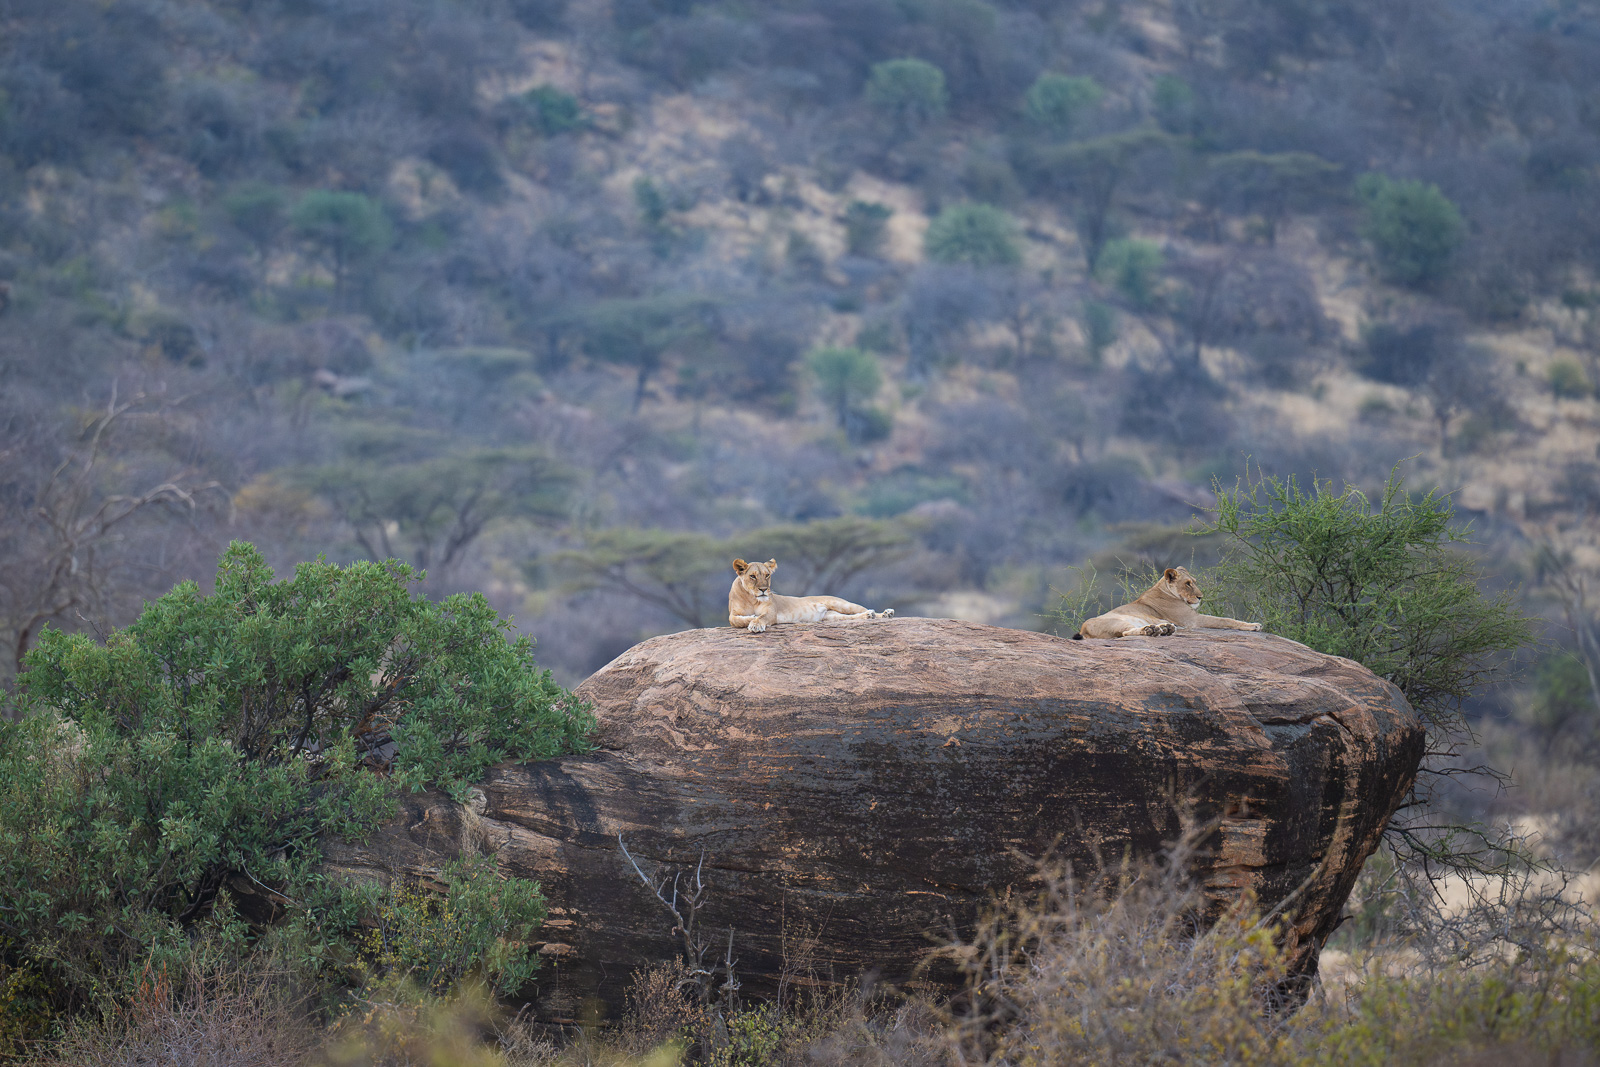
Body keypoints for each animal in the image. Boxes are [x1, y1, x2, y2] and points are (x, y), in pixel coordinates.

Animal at [728, 558, 894, 633]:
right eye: (753, 576)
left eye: (767, 575)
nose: (763, 589)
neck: (751, 598)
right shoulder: (732, 614)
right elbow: (736, 620)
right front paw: (750, 618)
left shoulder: (771, 612)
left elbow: (761, 617)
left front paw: (755, 623)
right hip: (831, 617)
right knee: (853, 617)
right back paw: (869, 616)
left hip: (841, 604)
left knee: (862, 609)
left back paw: (885, 613)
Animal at [1073, 566, 1262, 639]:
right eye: (1188, 584)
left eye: (1194, 581)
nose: (1201, 597)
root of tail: (1083, 629)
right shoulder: (1193, 620)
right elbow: (1226, 620)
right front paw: (1254, 625)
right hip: (1117, 621)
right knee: (1126, 633)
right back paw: (1152, 630)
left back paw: (1165, 628)